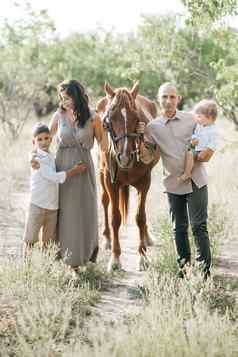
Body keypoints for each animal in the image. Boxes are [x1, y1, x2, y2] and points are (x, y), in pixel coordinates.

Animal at [96, 80, 159, 270]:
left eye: (137, 118)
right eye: (109, 119)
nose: (124, 156)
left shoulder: (145, 181)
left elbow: (140, 216)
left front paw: (142, 256)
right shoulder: (110, 181)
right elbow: (115, 217)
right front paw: (115, 258)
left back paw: (147, 237)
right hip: (102, 176)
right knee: (105, 202)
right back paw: (107, 239)